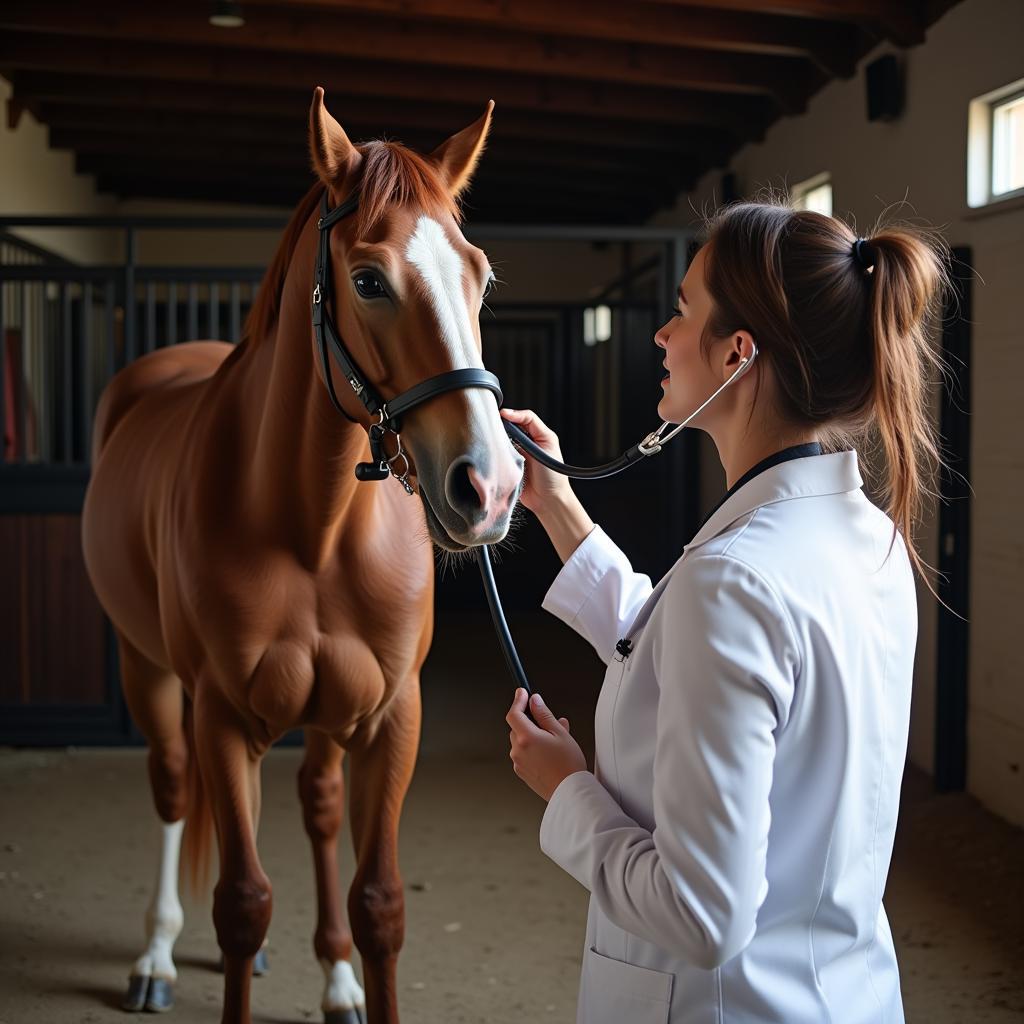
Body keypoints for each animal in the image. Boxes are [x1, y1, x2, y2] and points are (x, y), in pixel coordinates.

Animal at [81, 90, 520, 1024]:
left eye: (480, 275)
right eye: (368, 280)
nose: (492, 487)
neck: (311, 533)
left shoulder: (390, 716)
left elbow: (379, 902)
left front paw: (354, 972)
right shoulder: (219, 716)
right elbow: (242, 902)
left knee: (316, 808)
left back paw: (335, 978)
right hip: (149, 671)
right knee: (174, 787)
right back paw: (157, 956)